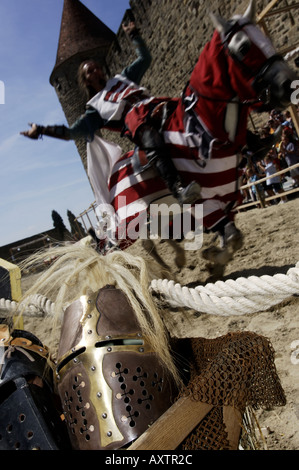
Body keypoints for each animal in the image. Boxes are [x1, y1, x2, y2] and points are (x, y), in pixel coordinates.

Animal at [99, 0, 298, 270]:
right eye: (244, 47)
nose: (289, 85)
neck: (206, 129)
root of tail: (114, 169)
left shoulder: (228, 195)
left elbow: (231, 236)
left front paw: (215, 259)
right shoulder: (206, 202)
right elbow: (231, 237)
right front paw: (212, 258)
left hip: (160, 208)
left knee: (160, 233)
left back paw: (177, 260)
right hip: (133, 215)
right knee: (140, 242)